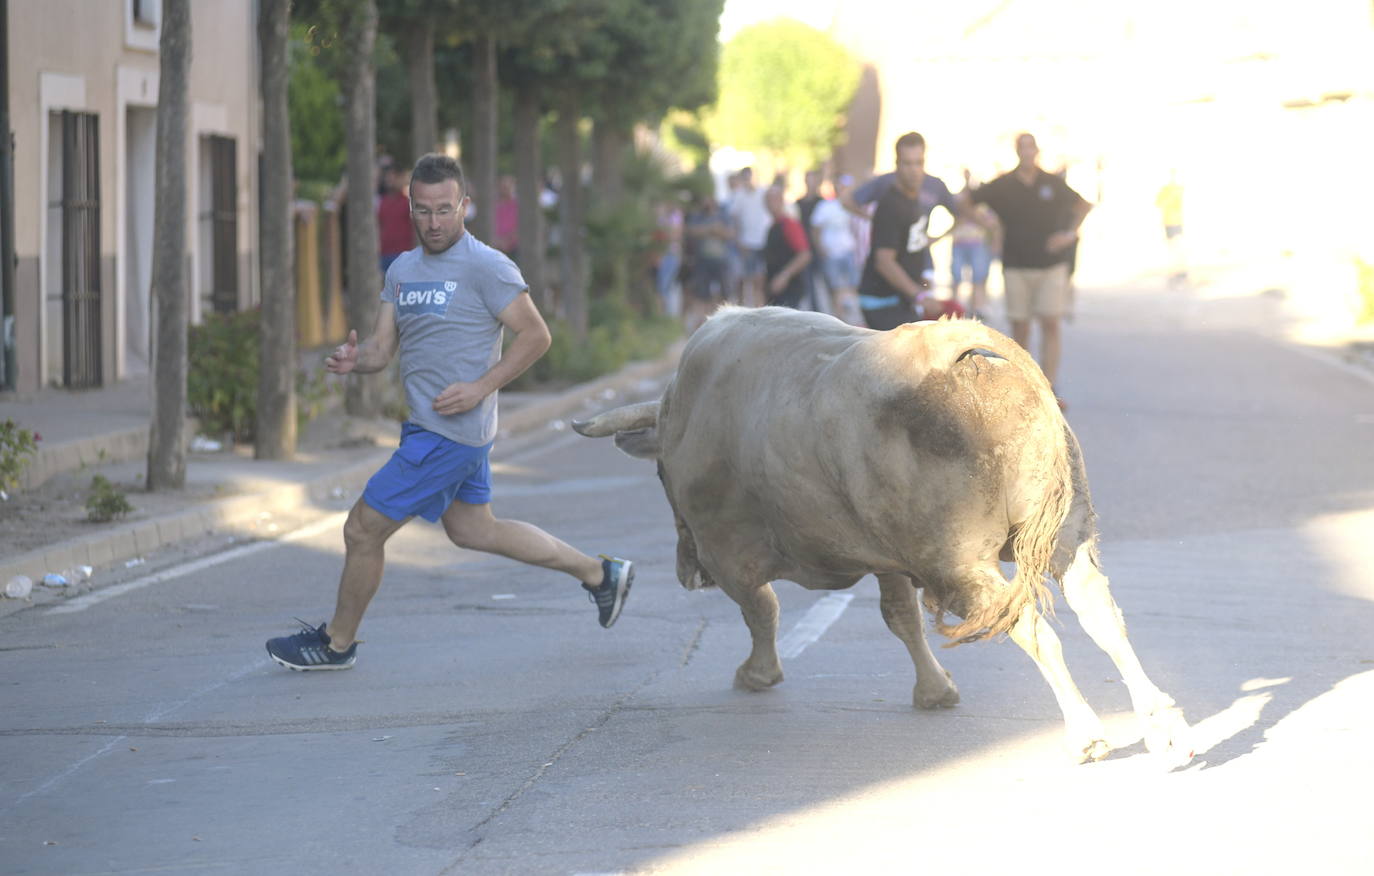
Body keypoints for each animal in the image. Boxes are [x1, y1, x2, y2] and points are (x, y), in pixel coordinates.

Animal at [574, 307, 1187, 763]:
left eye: (659, 473)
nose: (686, 572)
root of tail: (950, 345)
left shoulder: (731, 556)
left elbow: (762, 610)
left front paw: (758, 673)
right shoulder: (887, 552)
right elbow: (901, 617)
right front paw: (935, 691)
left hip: (961, 560)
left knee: (1034, 630)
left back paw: (1086, 731)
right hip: (1068, 532)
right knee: (1101, 613)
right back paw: (1162, 723)